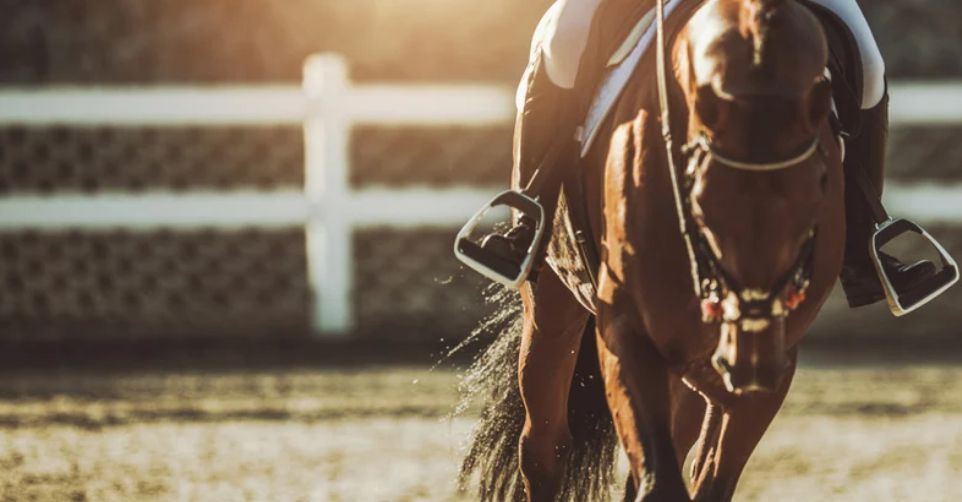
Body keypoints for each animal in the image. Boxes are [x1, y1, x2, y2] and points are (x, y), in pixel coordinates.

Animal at [458, 0, 845, 500]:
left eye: (820, 189)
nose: (749, 362)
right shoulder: (628, 332)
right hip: (551, 310)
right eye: (698, 197)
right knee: (544, 448)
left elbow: (706, 479)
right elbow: (660, 480)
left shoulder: (769, 370)